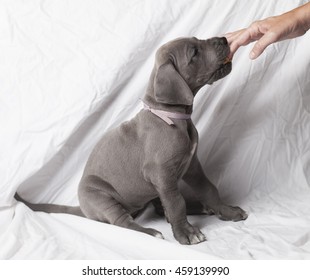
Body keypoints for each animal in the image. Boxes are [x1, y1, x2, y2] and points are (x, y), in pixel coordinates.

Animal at [15, 37, 247, 245]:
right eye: (194, 53)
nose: (224, 39)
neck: (170, 116)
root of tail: (84, 209)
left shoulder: (192, 166)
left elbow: (208, 189)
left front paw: (226, 211)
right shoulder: (161, 174)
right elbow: (176, 203)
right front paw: (187, 233)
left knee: (160, 208)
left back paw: (200, 208)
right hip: (101, 197)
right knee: (123, 222)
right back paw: (150, 232)